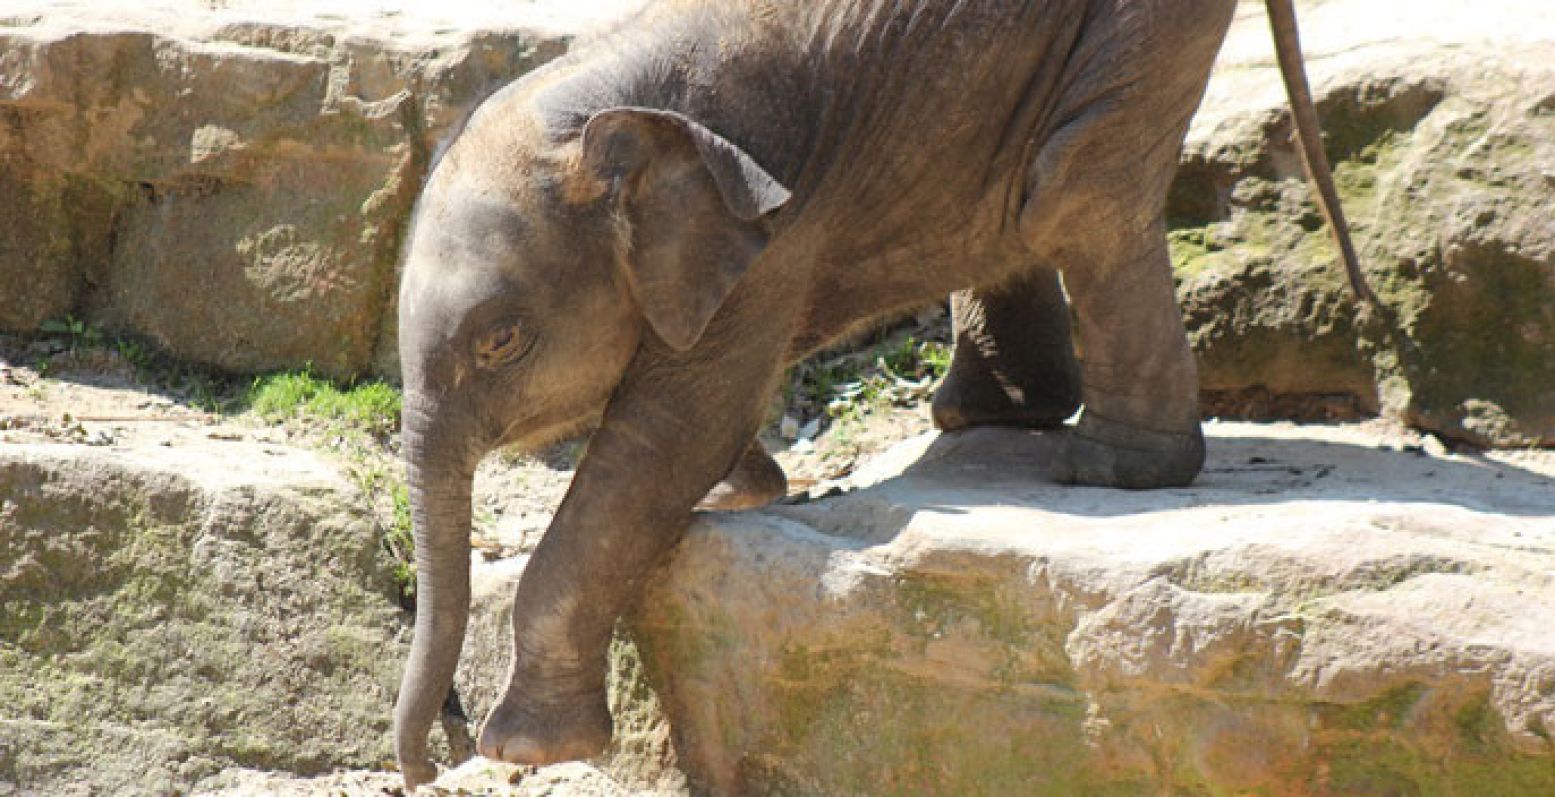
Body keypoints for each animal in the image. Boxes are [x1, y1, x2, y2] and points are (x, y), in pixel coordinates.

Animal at [394, 0, 1368, 783]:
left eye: (500, 341)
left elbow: (669, 430)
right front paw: (742, 490)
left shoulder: (772, 234)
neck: (600, 108)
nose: (421, 769)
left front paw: (527, 749)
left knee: (1075, 194)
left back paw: (1113, 472)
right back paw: (990, 415)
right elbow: (678, 422)